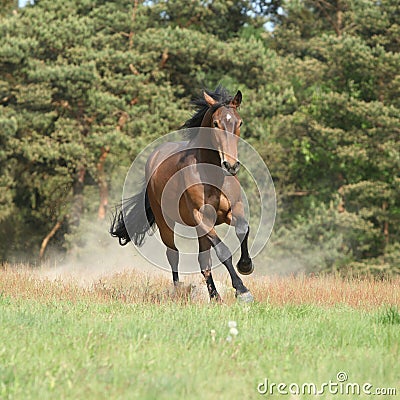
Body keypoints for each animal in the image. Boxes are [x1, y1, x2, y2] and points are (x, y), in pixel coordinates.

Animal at [109, 86, 253, 302]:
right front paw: (242, 290)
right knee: (174, 255)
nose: (231, 165)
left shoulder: (232, 210)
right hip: (166, 223)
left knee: (204, 262)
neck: (211, 174)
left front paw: (245, 266)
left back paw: (214, 297)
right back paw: (178, 291)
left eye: (239, 122)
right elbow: (223, 251)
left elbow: (243, 229)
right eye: (216, 123)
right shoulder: (201, 217)